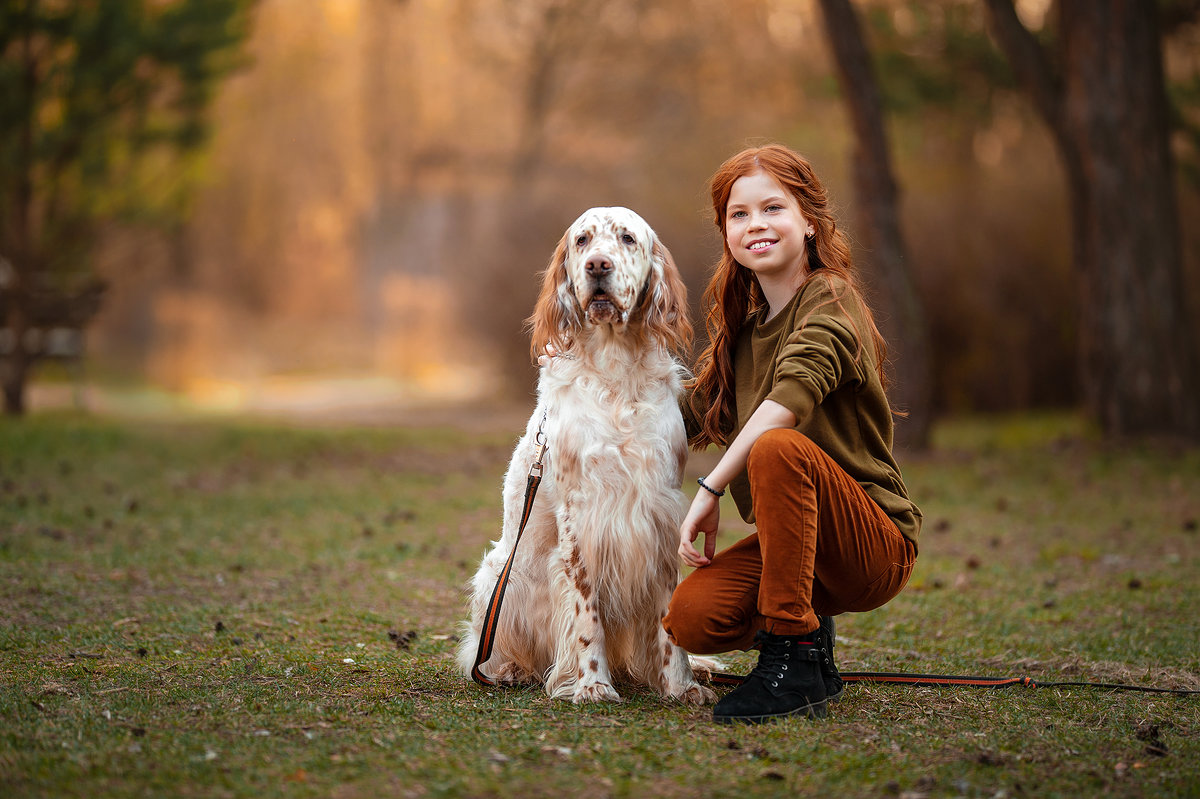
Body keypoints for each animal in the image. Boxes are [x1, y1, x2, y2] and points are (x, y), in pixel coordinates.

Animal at [460, 206, 715, 705]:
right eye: (582, 241)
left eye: (627, 238)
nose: (599, 266)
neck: (617, 370)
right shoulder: (579, 514)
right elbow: (585, 615)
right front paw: (592, 684)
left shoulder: (660, 510)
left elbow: (667, 618)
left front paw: (681, 684)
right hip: (500, 574)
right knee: (489, 648)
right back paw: (513, 670)